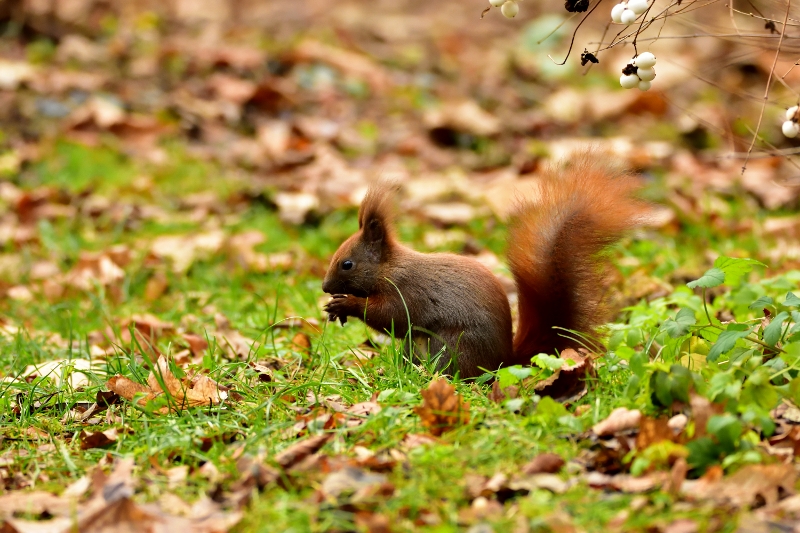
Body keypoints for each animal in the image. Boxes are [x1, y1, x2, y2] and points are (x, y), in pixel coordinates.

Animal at [320, 154, 648, 378]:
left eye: (347, 264)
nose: (324, 287)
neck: (389, 269)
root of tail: (503, 361)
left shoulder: (407, 291)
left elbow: (392, 317)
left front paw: (346, 304)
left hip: (450, 346)